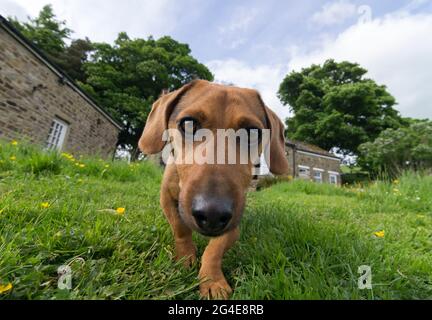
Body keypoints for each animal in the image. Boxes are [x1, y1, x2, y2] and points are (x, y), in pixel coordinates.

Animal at [138, 79, 286, 298]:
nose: (212, 214)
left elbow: (214, 249)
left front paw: (212, 280)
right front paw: (185, 258)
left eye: (252, 132)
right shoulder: (166, 197)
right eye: (188, 124)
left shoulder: (233, 226)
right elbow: (180, 228)